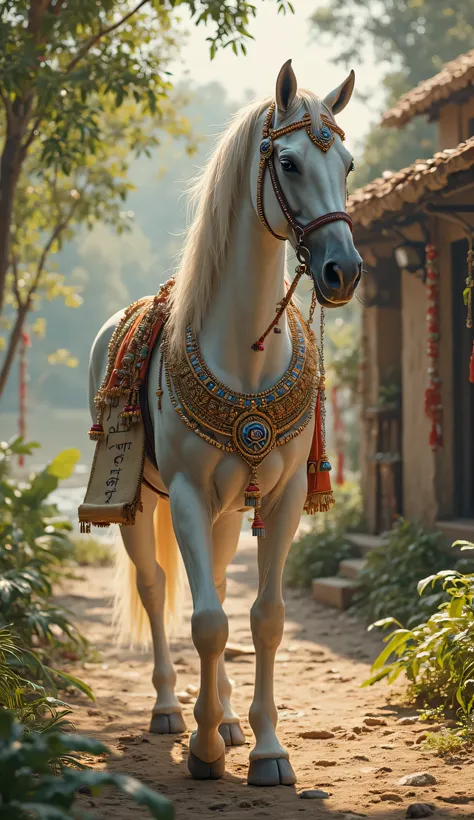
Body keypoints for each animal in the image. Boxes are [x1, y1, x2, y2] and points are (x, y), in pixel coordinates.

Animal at [89, 60, 362, 784]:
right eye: (288, 162)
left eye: (348, 163)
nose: (343, 271)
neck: (247, 352)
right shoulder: (184, 492)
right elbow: (206, 621)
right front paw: (204, 749)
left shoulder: (285, 495)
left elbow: (264, 619)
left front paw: (265, 747)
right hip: (139, 502)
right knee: (157, 589)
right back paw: (170, 710)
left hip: (227, 507)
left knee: (209, 578)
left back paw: (230, 716)